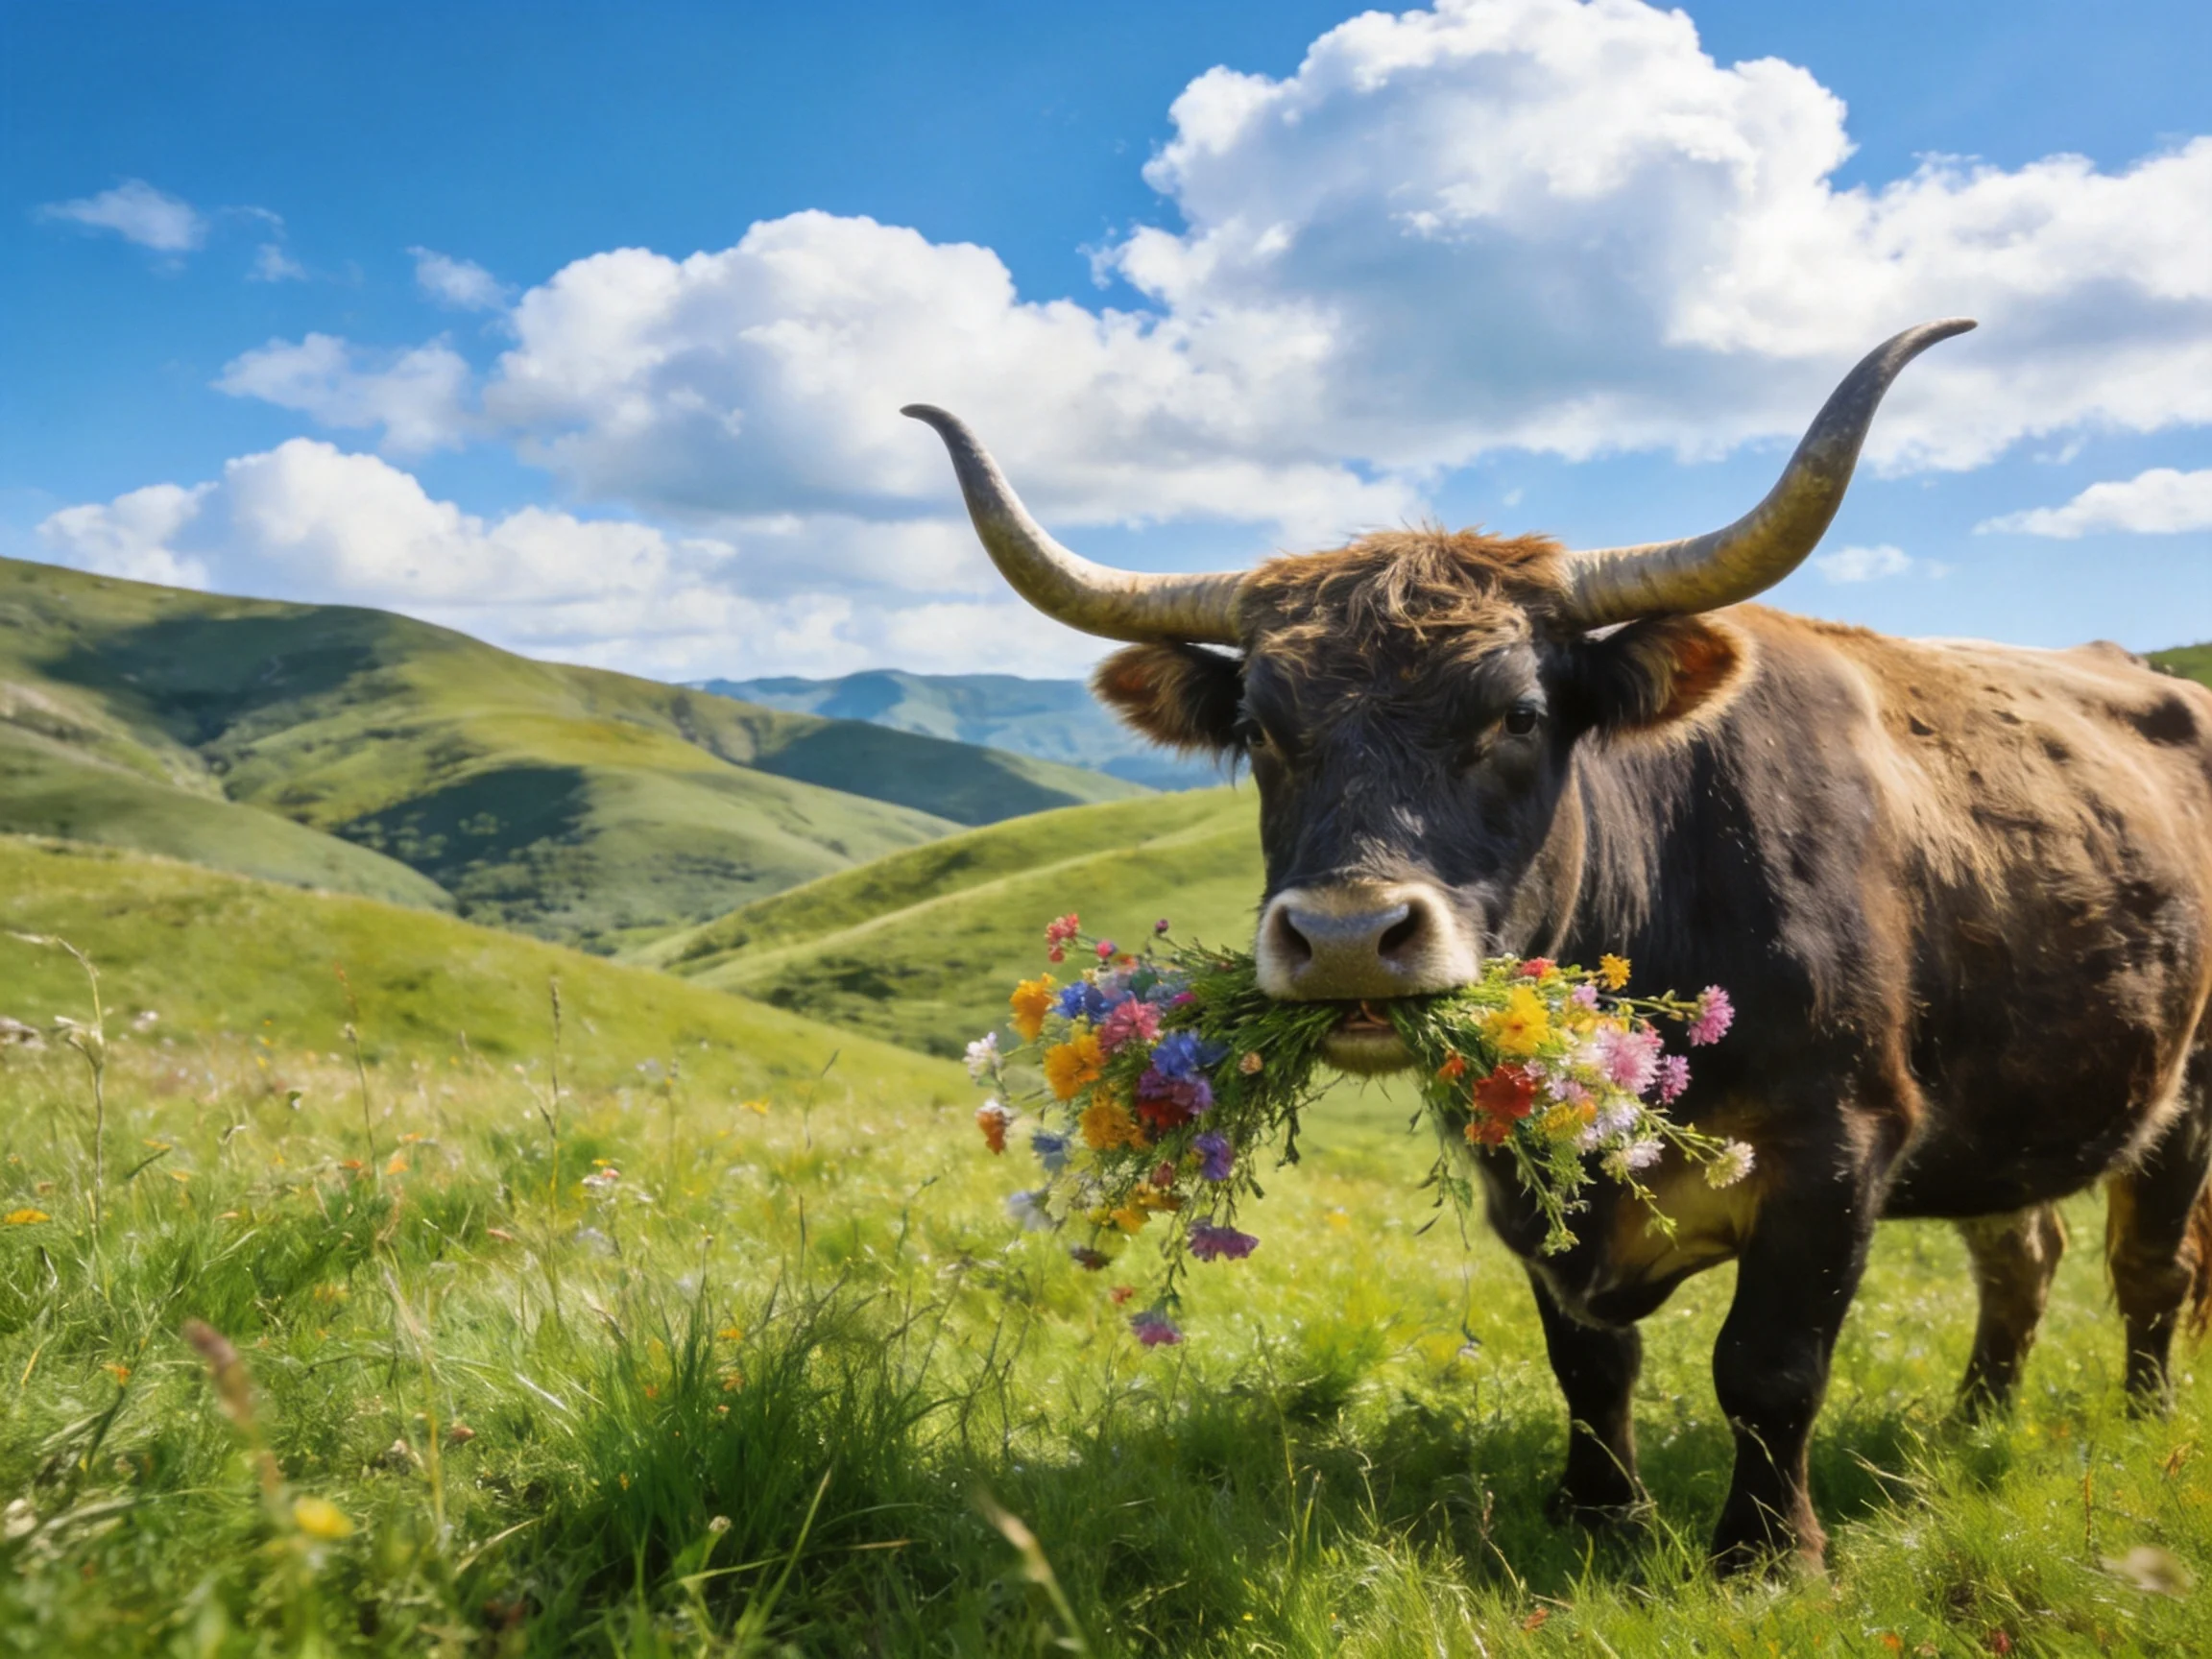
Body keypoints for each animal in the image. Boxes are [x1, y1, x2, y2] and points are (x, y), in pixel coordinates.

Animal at [902, 320, 2212, 1573]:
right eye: (1262, 731)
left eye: (1519, 716)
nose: (1347, 939)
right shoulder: (1529, 1179)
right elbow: (1589, 1361)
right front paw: (1599, 1519)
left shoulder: (1839, 1147)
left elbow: (1768, 1365)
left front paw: (1766, 1555)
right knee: (2024, 1253)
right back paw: (1969, 1427)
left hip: (2182, 1094)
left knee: (2151, 1267)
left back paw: (2138, 1430)